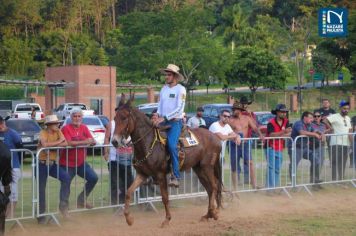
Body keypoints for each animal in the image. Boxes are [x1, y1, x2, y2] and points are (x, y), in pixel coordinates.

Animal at [111, 95, 222, 228]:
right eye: (115, 118)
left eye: (124, 118)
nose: (114, 141)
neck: (149, 143)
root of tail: (216, 137)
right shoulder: (142, 174)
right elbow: (128, 192)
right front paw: (129, 219)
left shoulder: (160, 175)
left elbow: (165, 198)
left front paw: (167, 219)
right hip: (199, 169)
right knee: (210, 189)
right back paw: (208, 214)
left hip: (207, 167)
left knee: (214, 186)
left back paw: (213, 213)